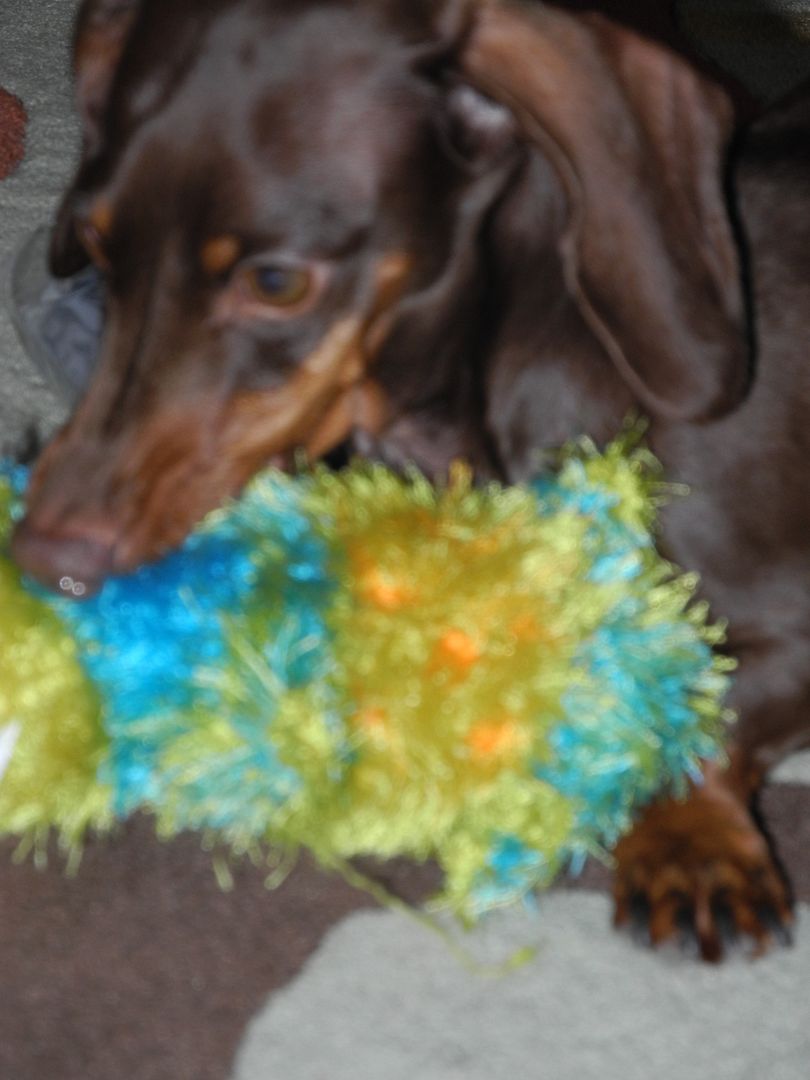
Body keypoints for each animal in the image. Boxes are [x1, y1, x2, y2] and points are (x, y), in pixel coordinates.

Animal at [12, 0, 810, 963]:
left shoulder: (792, 616)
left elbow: (706, 702)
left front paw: (691, 844)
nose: (45, 559)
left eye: (275, 281)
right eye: (97, 246)